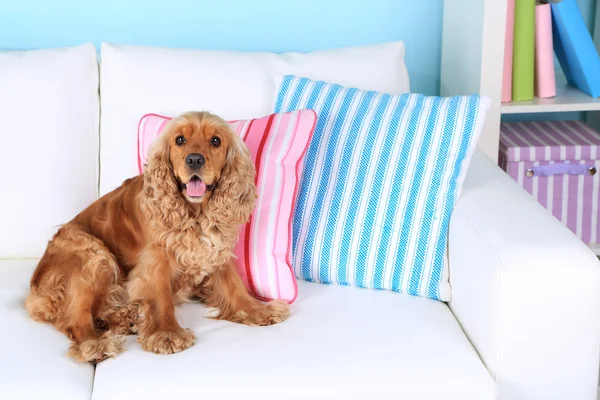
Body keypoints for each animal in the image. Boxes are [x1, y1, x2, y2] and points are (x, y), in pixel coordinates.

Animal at [24, 111, 292, 362]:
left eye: (215, 141)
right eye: (180, 140)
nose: (195, 159)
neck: (195, 214)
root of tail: (35, 290)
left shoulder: (215, 252)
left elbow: (234, 286)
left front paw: (257, 310)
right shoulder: (155, 260)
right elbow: (160, 296)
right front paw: (167, 333)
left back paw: (127, 318)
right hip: (92, 254)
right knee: (75, 317)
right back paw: (95, 343)